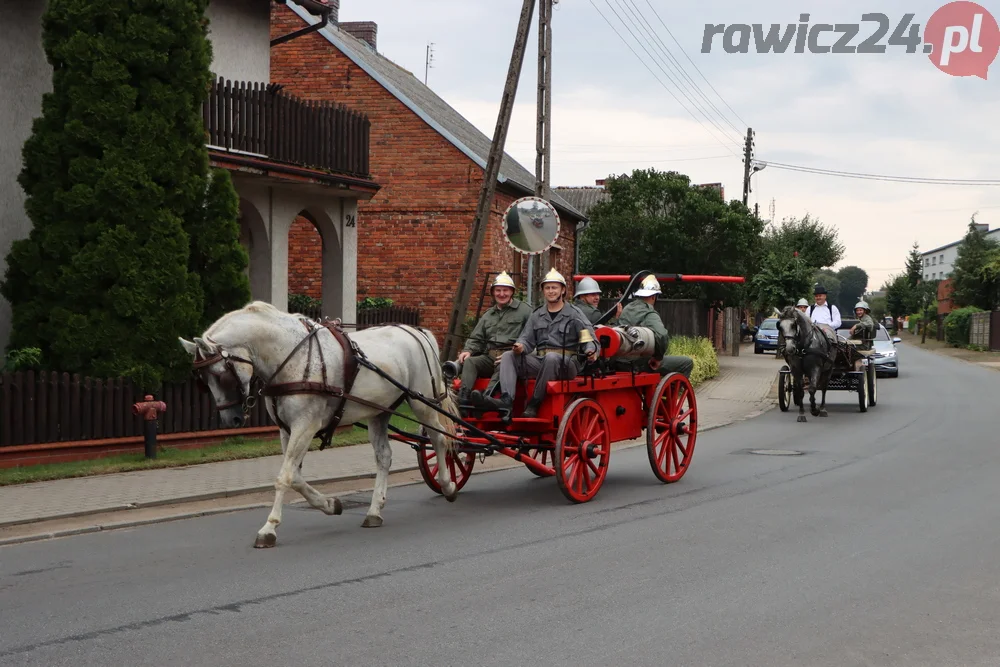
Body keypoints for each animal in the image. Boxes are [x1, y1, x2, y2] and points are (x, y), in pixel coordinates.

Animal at [180, 302, 460, 548]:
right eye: (202, 380)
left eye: (220, 376)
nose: (231, 419)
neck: (290, 356)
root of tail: (417, 332)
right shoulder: (287, 430)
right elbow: (296, 477)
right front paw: (330, 505)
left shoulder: (305, 426)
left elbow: (284, 477)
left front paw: (269, 528)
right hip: (379, 412)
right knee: (384, 457)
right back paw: (374, 511)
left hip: (423, 402)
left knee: (439, 440)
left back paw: (448, 485)